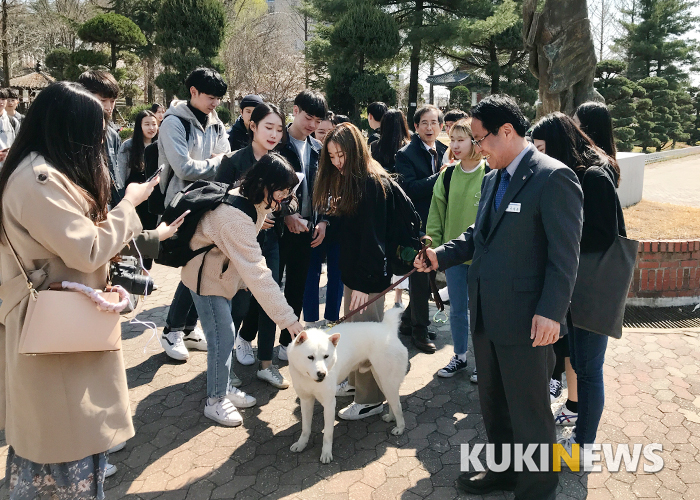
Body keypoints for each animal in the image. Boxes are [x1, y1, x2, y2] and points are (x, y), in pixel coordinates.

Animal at [286, 308, 408, 464]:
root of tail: (388, 328)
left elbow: (327, 434)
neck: (309, 378)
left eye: (326, 356)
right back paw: (391, 418)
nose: (322, 374)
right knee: (393, 402)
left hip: (387, 381)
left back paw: (400, 427)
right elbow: (305, 428)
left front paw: (326, 453)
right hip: (382, 381)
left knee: (398, 405)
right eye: (310, 357)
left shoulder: (329, 404)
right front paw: (301, 444)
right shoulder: (306, 400)